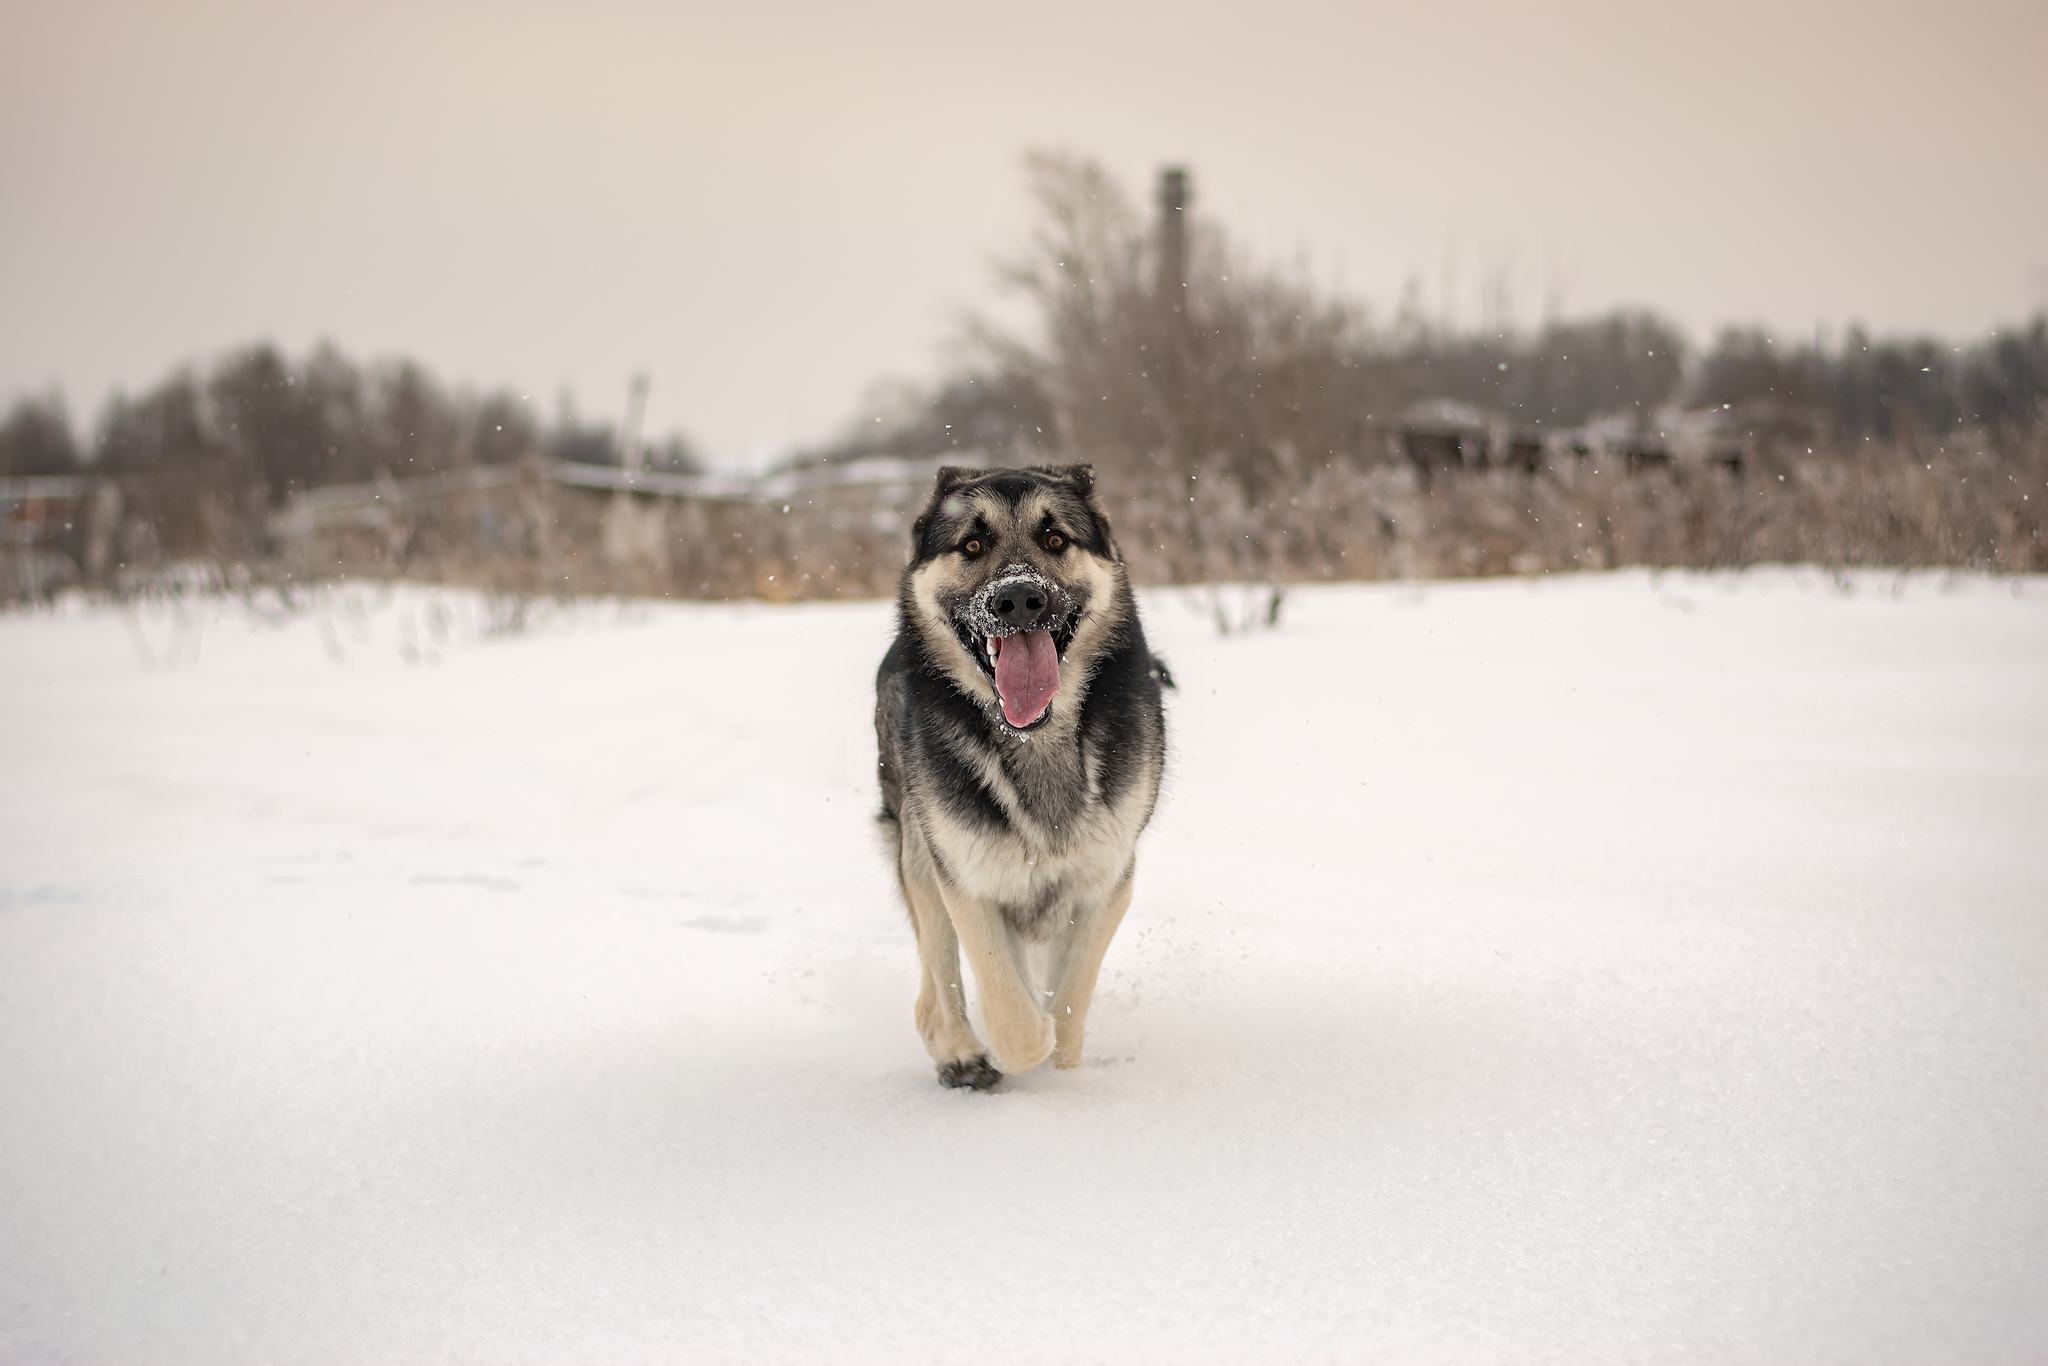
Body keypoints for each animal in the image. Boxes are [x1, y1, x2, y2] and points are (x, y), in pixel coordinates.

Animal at [872, 462, 1171, 1089]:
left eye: (1055, 539)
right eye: (972, 545)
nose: (1018, 599)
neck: (1036, 738)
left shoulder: (1107, 879)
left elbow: (1070, 999)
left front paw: (1063, 1066)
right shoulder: (967, 877)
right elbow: (1015, 1017)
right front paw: (1016, 1049)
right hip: (918, 847)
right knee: (936, 981)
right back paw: (959, 1052)